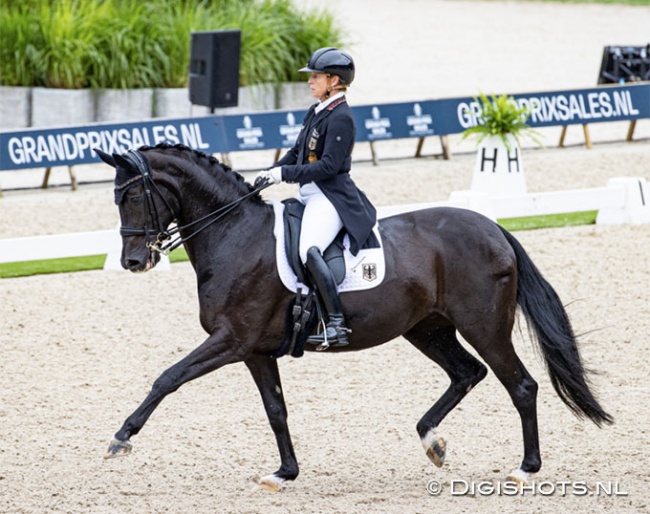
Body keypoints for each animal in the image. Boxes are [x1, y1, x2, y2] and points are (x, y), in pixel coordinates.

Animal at [93, 143, 612, 488]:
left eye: (132, 197)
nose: (133, 262)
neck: (234, 234)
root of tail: (495, 228)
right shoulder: (255, 350)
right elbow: (276, 410)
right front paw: (285, 473)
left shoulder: (230, 340)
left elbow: (168, 377)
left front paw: (121, 438)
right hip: (427, 329)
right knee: (467, 373)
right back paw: (432, 442)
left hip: (483, 327)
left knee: (520, 385)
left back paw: (526, 468)